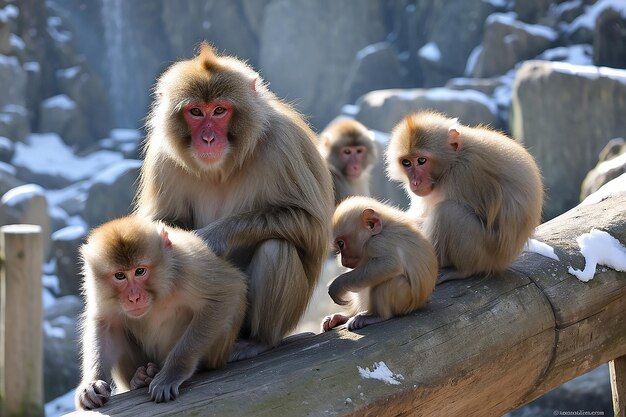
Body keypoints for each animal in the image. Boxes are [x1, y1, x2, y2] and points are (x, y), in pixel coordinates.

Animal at [74, 216, 245, 408]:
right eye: (120, 276)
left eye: (140, 271)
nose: (134, 297)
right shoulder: (98, 290)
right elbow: (105, 324)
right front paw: (91, 384)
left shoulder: (189, 266)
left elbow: (224, 294)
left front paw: (171, 373)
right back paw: (140, 378)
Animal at [134, 42, 334, 358]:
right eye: (195, 111)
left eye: (219, 111)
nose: (208, 139)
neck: (222, 167)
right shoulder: (162, 157)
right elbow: (162, 225)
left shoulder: (283, 144)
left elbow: (311, 223)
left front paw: (212, 237)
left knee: (276, 249)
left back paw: (258, 341)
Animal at [320, 197, 436, 330]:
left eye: (341, 244)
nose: (342, 261)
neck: (381, 229)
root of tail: (422, 302)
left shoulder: (377, 242)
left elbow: (390, 264)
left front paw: (337, 285)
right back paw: (345, 316)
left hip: (406, 301)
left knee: (390, 281)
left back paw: (375, 316)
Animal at [386, 110, 540, 280]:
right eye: (406, 163)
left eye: (421, 160)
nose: (415, 182)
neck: (454, 160)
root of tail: (502, 262)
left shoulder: (463, 175)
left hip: (483, 256)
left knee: (448, 213)